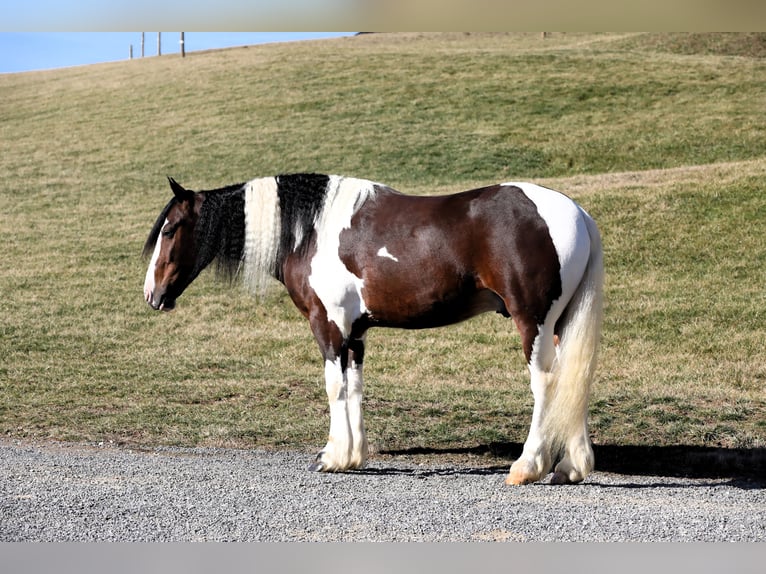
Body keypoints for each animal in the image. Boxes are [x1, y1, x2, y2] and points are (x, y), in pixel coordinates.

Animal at [141, 174, 604, 486]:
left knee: (547, 385)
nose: (151, 294)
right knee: (574, 380)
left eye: (170, 229)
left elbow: (333, 387)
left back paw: (527, 466)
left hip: (534, 322)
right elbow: (355, 388)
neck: (311, 230)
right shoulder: (355, 332)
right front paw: (353, 455)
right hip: (561, 325)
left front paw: (331, 456)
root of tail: (578, 213)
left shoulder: (327, 326)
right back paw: (571, 467)